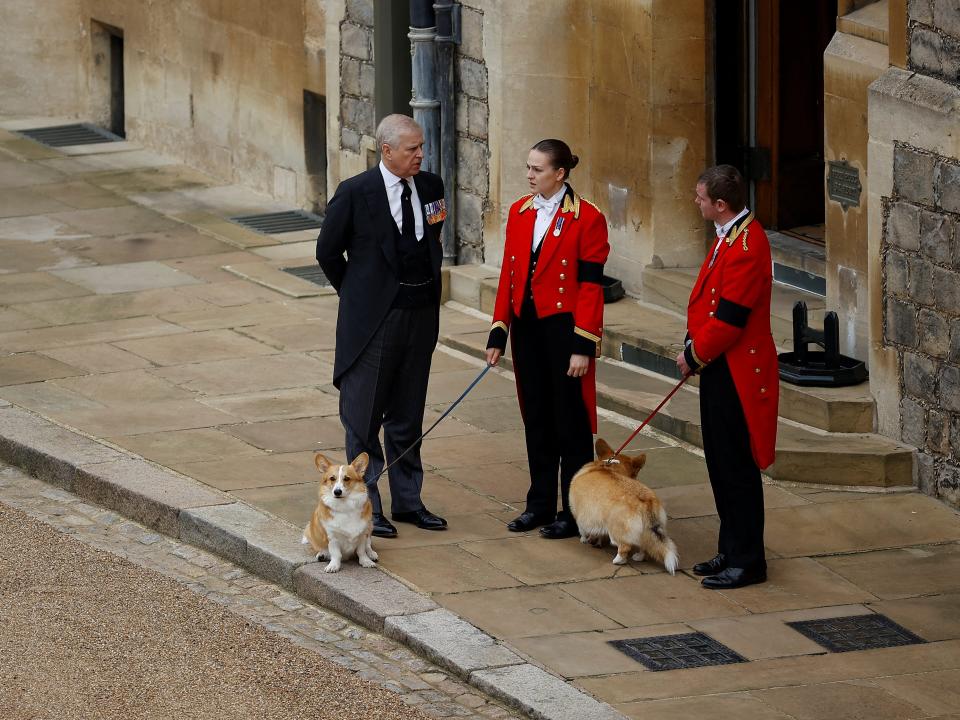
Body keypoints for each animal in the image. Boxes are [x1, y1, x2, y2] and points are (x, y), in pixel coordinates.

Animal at [568, 438, 684, 572]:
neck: (609, 467)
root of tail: (646, 501)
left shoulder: (580, 514)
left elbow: (582, 529)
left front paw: (584, 540)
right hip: (647, 531)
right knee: (644, 545)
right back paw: (638, 556)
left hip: (616, 531)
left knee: (624, 547)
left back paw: (618, 561)